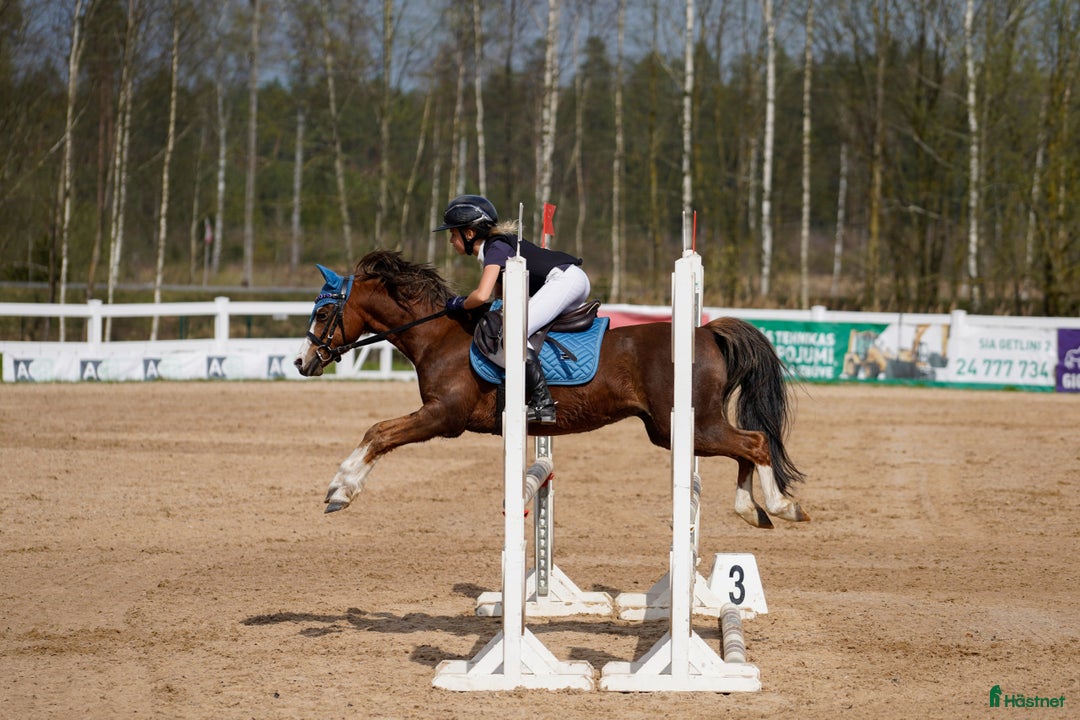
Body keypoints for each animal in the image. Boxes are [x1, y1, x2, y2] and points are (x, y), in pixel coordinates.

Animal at [294, 250, 810, 529]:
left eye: (323, 313)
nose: (301, 362)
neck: (439, 334)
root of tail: (706, 332)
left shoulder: (444, 416)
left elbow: (379, 433)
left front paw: (340, 488)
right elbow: (378, 432)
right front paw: (340, 487)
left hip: (690, 425)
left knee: (755, 443)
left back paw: (781, 506)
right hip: (677, 430)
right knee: (747, 446)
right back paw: (752, 509)